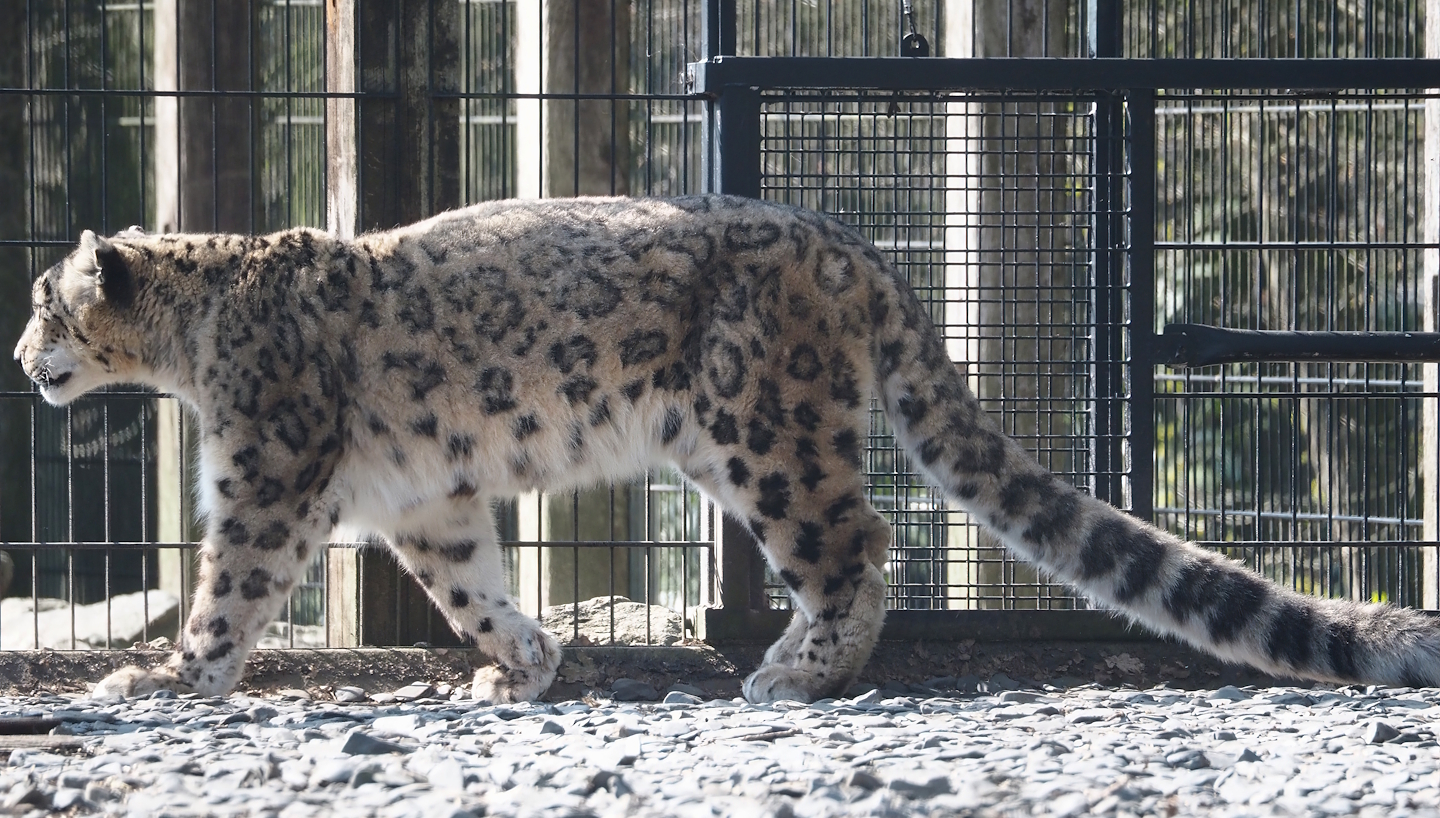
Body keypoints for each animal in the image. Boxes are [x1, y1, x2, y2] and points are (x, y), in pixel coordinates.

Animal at [14, 194, 1440, 703]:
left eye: (43, 300)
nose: (20, 356)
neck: (195, 344)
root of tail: (846, 242)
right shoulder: (427, 502)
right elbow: (471, 586)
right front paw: (519, 668)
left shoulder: (266, 472)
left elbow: (229, 586)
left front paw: (159, 678)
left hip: (763, 433)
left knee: (862, 544)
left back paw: (795, 672)